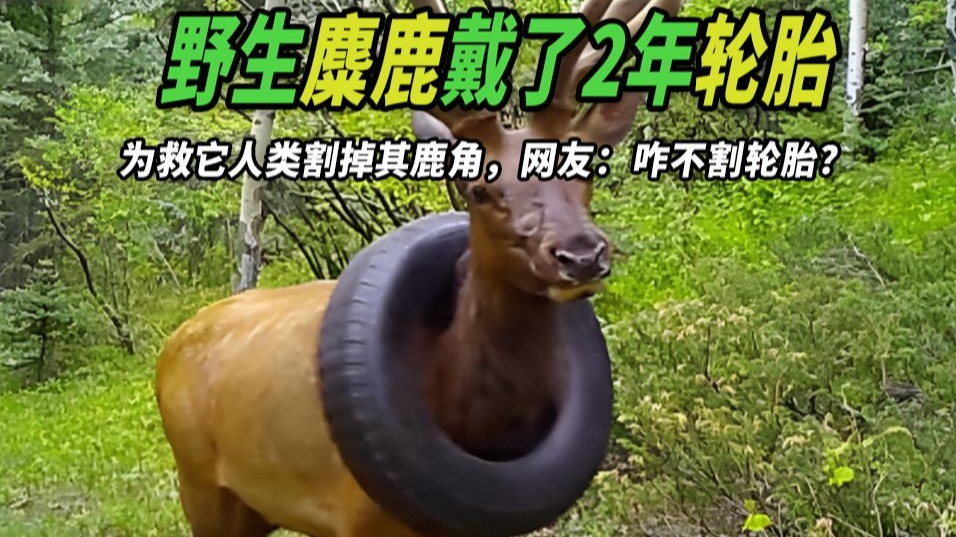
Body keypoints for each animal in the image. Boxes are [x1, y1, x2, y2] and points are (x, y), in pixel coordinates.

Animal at [155, 0, 684, 536]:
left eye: (585, 164)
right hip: (199, 482)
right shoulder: (358, 516)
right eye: (479, 188)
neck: (469, 415)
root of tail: (170, 346)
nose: (581, 254)